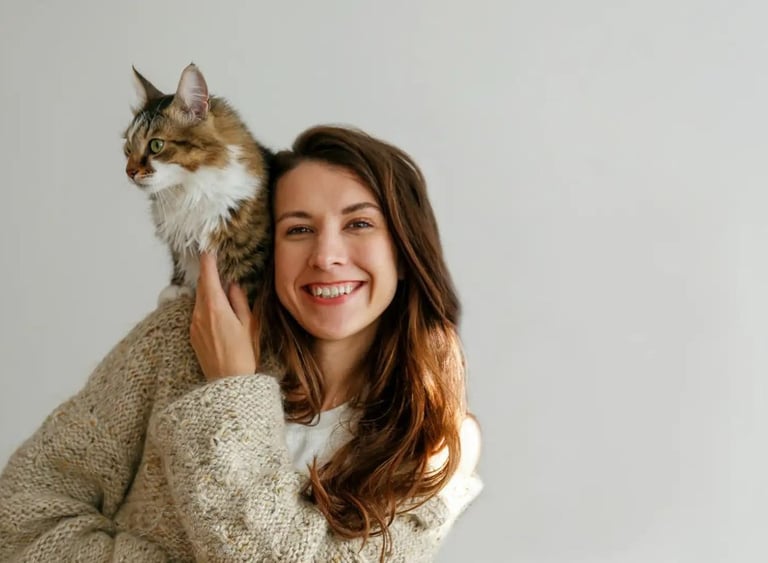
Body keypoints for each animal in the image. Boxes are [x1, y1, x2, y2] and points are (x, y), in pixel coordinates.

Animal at [124, 63, 273, 306]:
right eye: (127, 149)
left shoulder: (248, 259)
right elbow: (180, 263)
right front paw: (178, 289)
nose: (129, 172)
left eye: (156, 145)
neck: (188, 191)